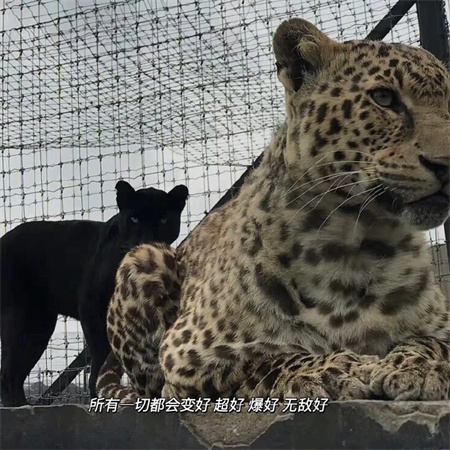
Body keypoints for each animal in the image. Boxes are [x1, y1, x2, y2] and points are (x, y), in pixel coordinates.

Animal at [97, 18, 450, 404]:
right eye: (384, 98)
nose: (447, 163)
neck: (358, 247)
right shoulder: (187, 355)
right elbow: (267, 360)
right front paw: (341, 369)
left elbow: (432, 342)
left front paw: (415, 365)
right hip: (142, 258)